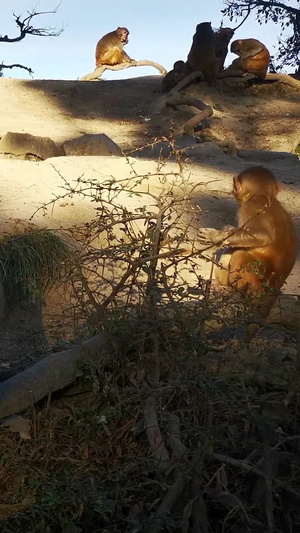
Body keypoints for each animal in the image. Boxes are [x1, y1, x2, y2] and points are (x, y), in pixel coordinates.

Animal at [199, 164, 298, 334]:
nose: (232, 190)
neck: (266, 197)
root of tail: (275, 287)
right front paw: (225, 231)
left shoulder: (253, 205)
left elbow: (262, 236)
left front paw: (215, 236)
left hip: (261, 276)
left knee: (239, 254)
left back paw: (237, 292)